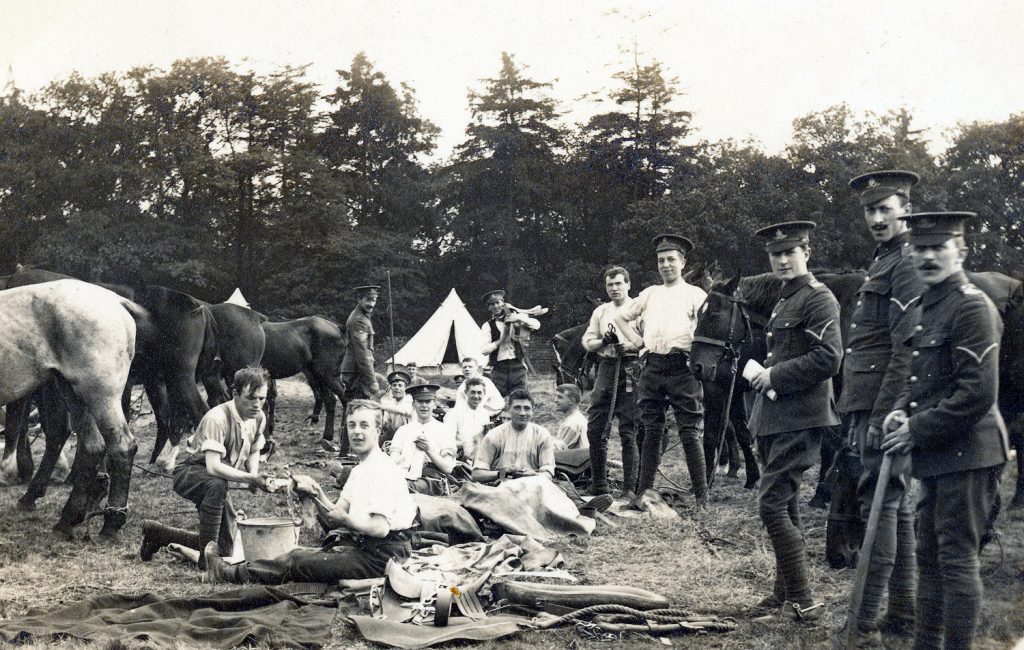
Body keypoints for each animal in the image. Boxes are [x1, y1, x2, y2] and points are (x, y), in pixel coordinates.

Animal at [0, 280, 139, 538]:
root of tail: (116, 301)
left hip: (100, 394)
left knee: (122, 447)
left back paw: (111, 522)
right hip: (72, 392)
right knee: (92, 447)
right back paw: (68, 518)